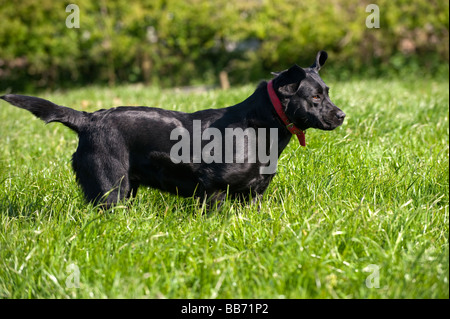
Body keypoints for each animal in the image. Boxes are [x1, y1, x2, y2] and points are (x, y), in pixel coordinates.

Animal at [0, 51, 344, 209]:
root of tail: (88, 119)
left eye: (327, 91)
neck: (259, 127)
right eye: (315, 97)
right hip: (110, 188)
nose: (342, 115)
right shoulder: (213, 188)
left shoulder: (254, 195)